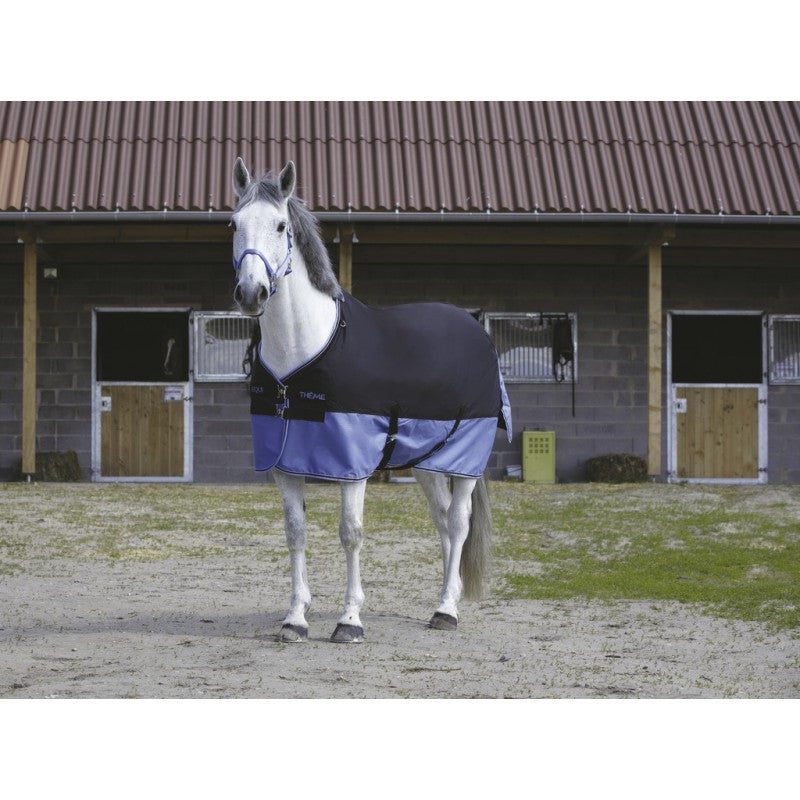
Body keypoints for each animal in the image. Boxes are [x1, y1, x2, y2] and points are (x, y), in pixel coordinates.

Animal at [230, 158, 512, 643]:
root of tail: (475, 328)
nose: (251, 293)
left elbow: (351, 533)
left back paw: (446, 610)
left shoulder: (353, 465)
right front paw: (295, 619)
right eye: (233, 224)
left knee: (458, 522)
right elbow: (295, 533)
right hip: (426, 461)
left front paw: (349, 620)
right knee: (442, 520)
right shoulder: (284, 464)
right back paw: (447, 597)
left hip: (465, 460)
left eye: (281, 225)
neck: (305, 352)